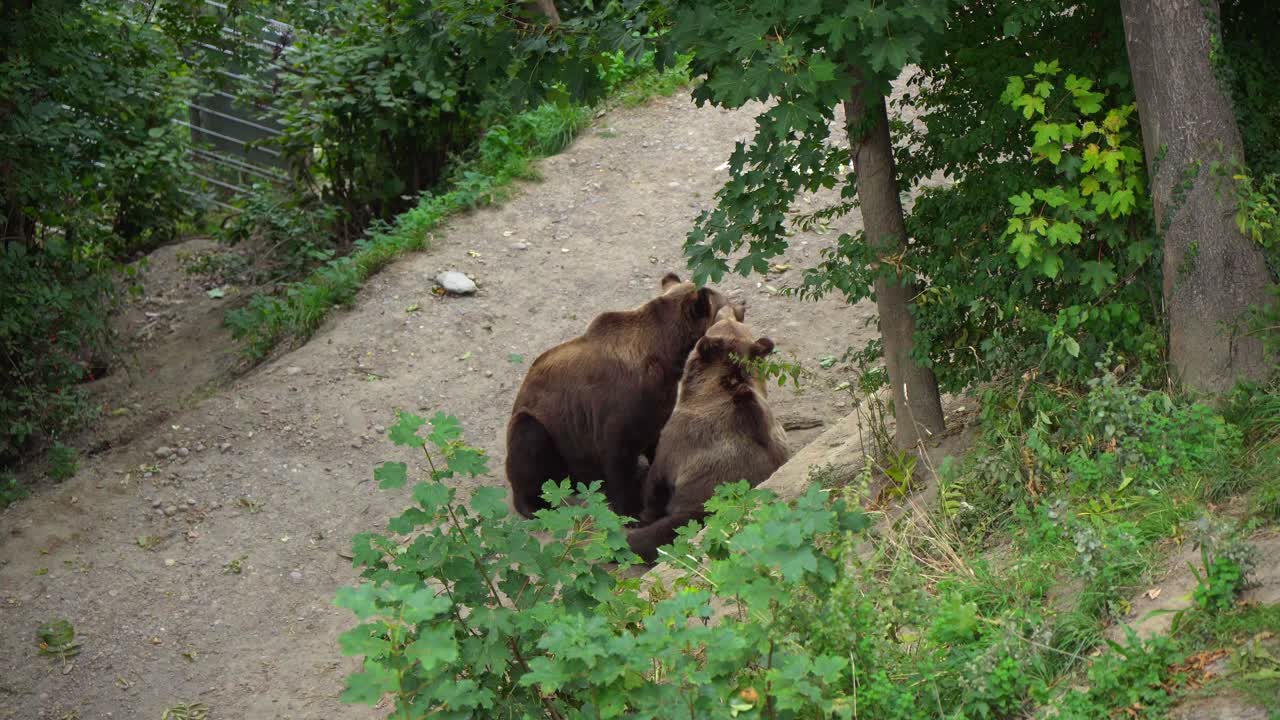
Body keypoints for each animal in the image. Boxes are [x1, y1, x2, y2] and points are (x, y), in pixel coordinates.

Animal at [505, 273, 743, 519]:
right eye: (725, 304)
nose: (742, 306)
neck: (666, 358)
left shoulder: (658, 403)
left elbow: (656, 440)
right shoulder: (617, 408)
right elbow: (618, 458)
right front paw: (630, 511)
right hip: (546, 426)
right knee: (529, 443)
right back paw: (534, 506)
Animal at [627, 307, 790, 562]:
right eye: (723, 319)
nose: (727, 309)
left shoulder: (677, 443)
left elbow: (655, 486)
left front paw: (642, 516)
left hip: (698, 505)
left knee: (659, 532)